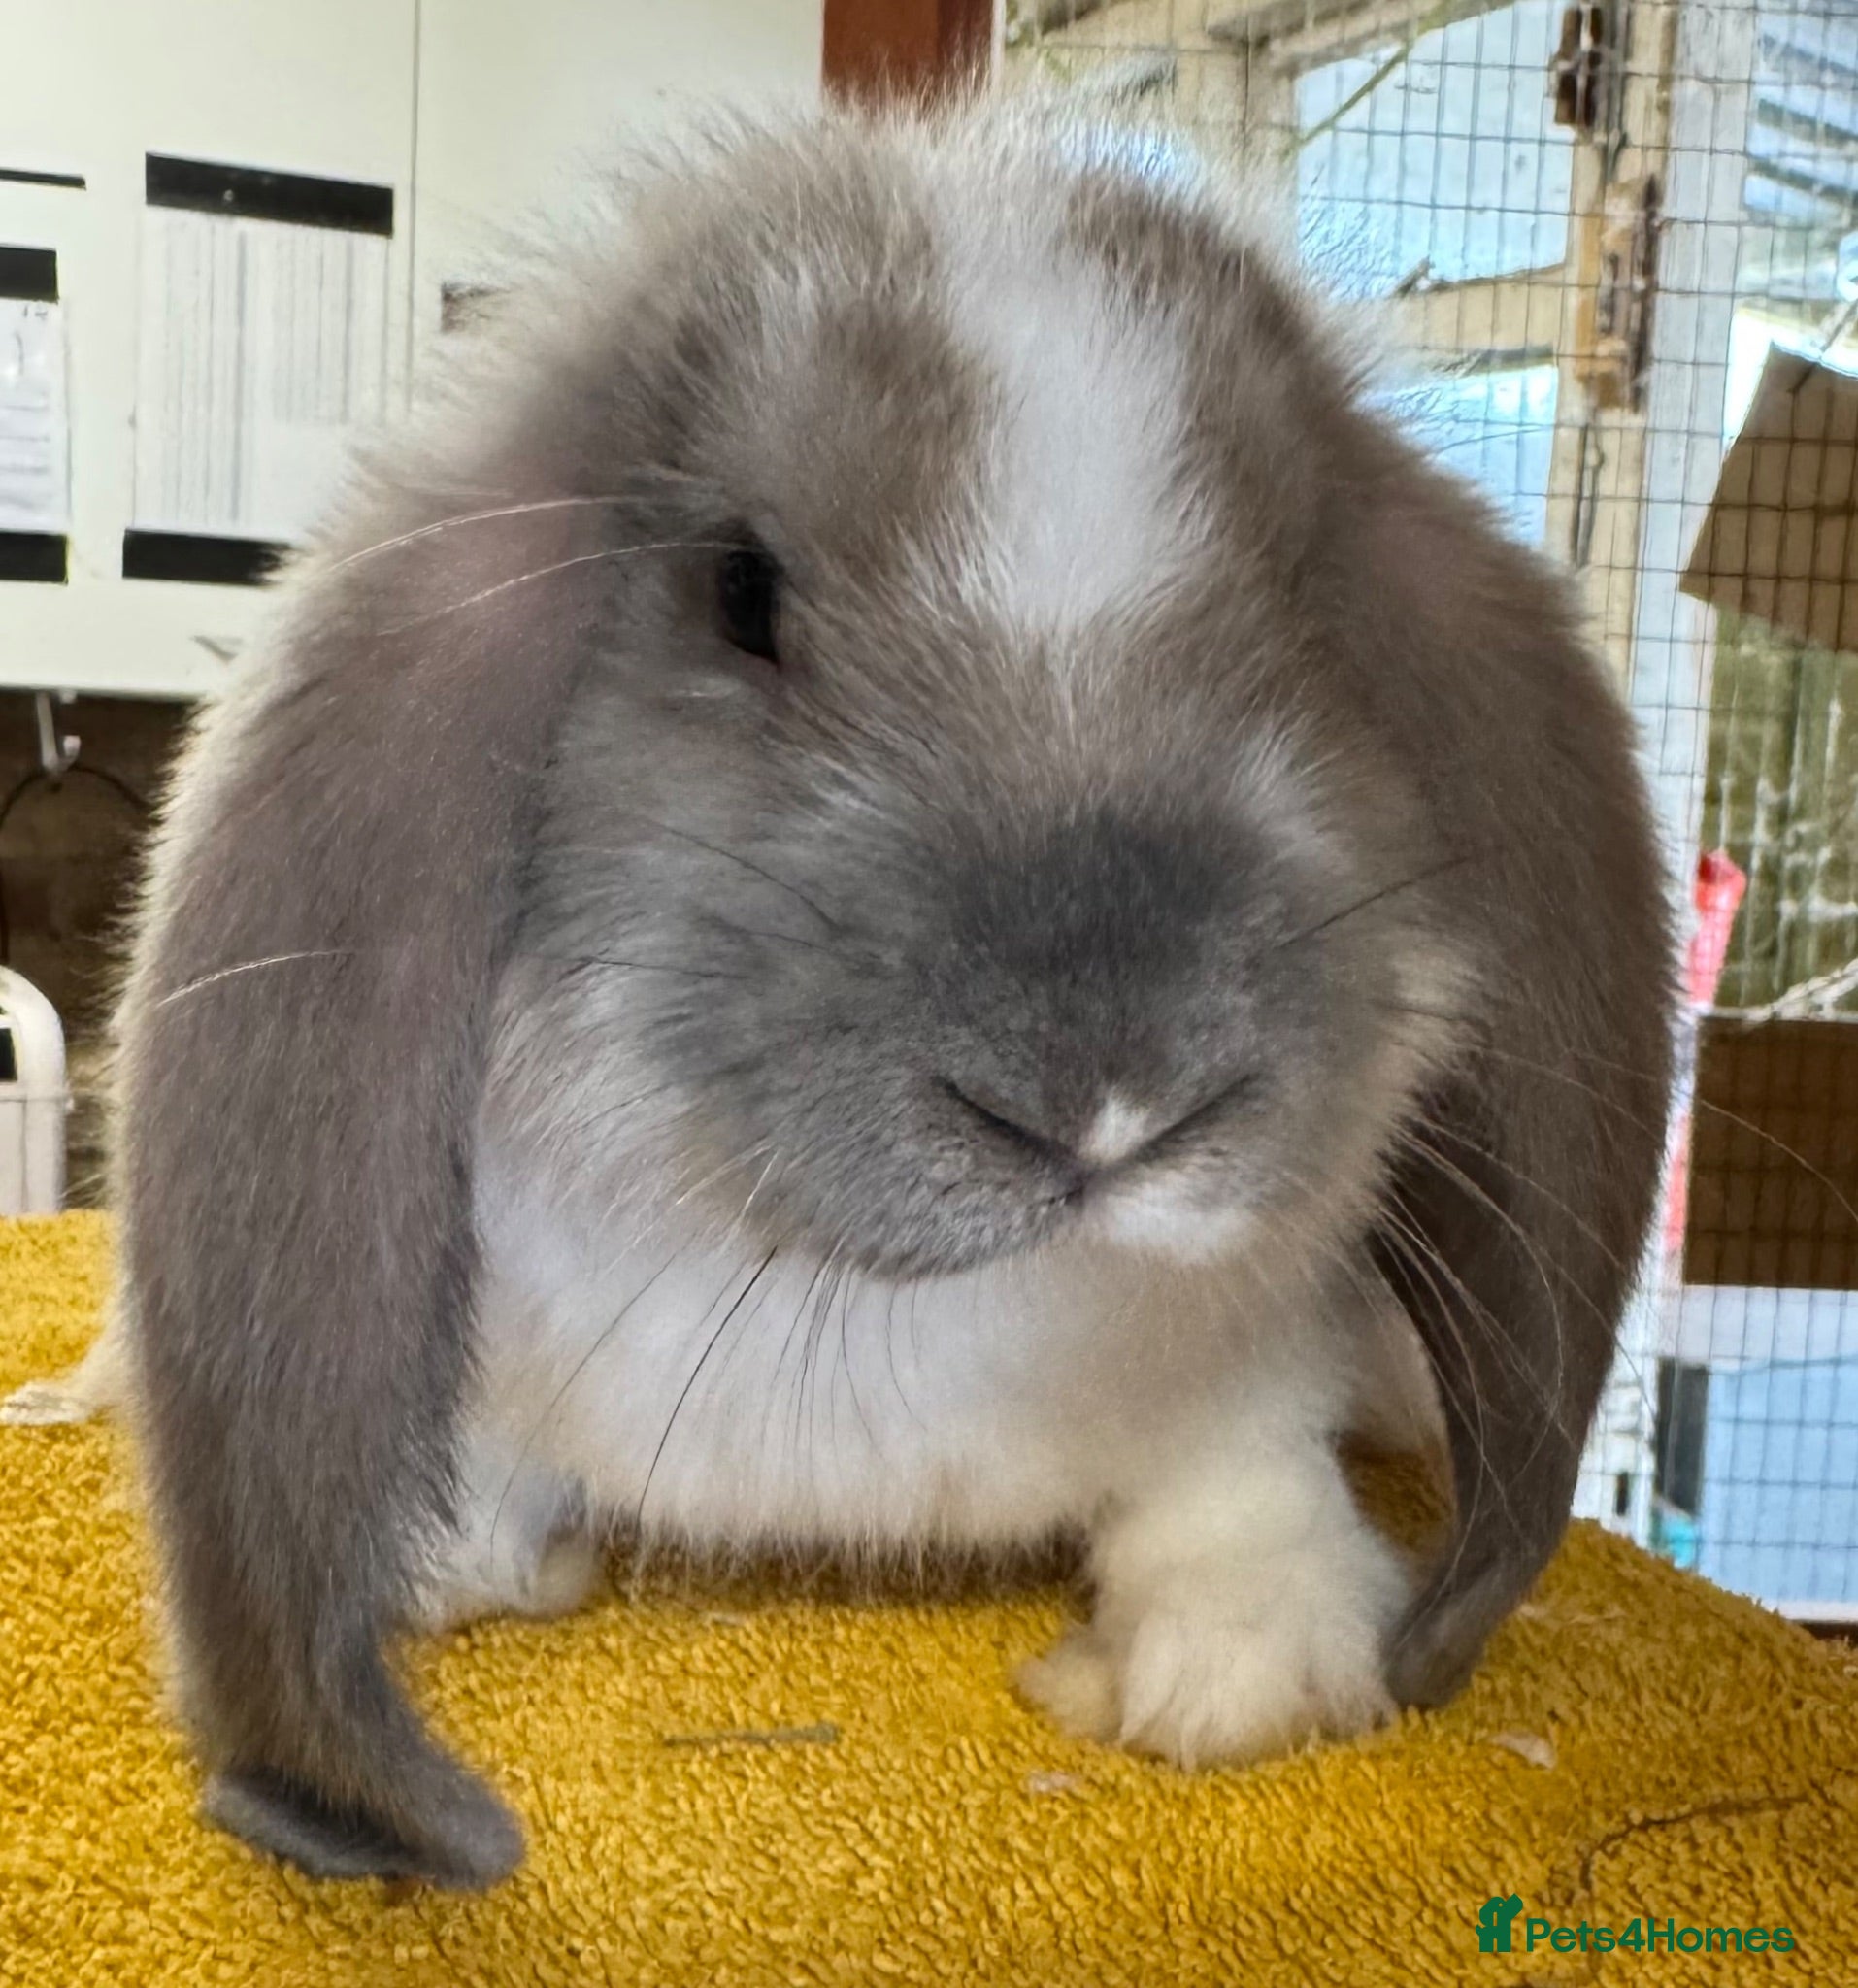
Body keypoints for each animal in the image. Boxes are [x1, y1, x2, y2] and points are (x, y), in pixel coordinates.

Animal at [112, 100, 1673, 1890]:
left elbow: (1240, 1484)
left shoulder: (1259, 1367)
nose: (1107, 1099)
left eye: (1299, 597)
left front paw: (1238, 1672)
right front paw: (457, 1560)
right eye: (739, 590)